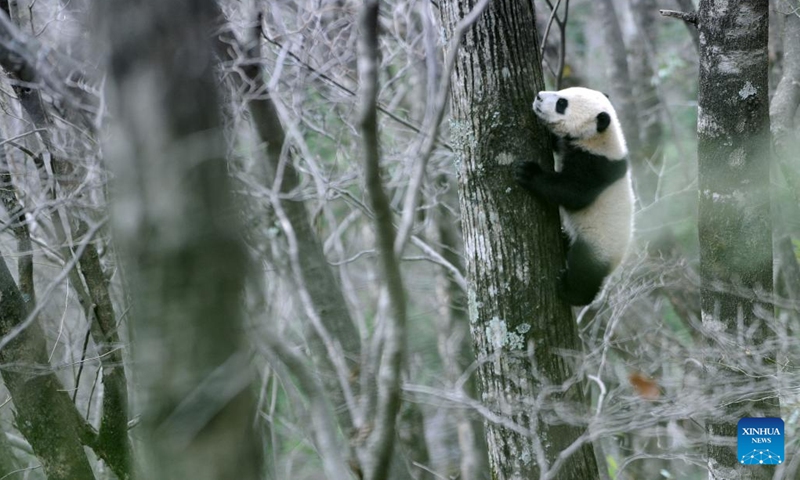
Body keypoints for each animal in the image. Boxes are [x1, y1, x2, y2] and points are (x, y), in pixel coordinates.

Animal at [515, 87, 634, 306]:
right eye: (562, 91)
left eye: (562, 103)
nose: (539, 96)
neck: (600, 137)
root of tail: (615, 265)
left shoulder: (597, 167)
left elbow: (573, 192)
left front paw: (527, 172)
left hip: (597, 245)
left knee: (583, 270)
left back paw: (570, 292)